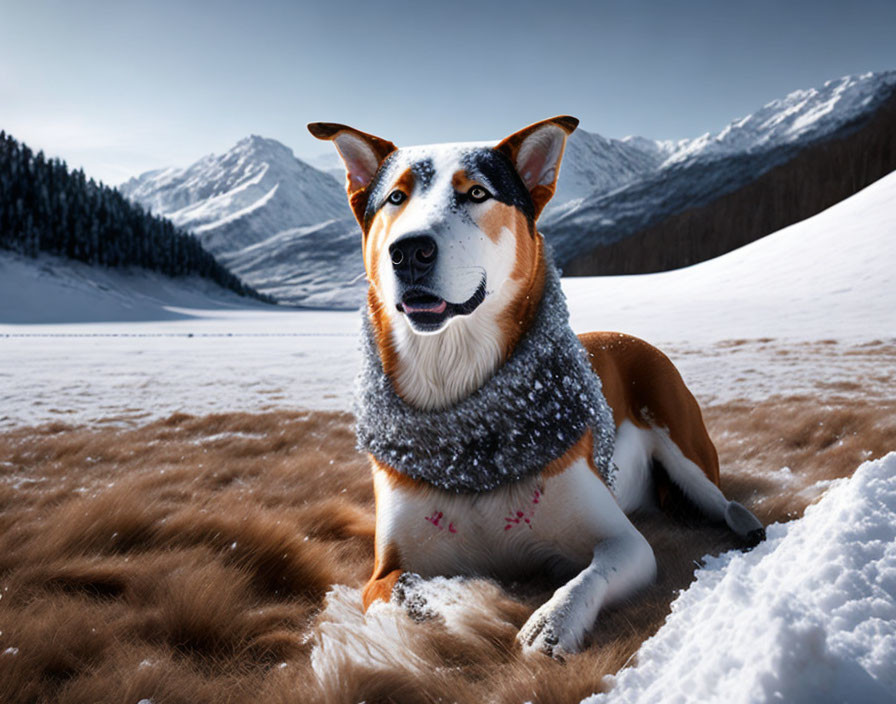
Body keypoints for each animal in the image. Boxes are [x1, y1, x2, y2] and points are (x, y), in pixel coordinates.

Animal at [308, 113, 764, 656]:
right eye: (395, 197)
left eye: (477, 192)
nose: (409, 251)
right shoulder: (385, 569)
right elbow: (397, 594)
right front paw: (440, 613)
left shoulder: (624, 542)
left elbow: (592, 572)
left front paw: (552, 622)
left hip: (682, 441)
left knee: (720, 500)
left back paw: (747, 528)